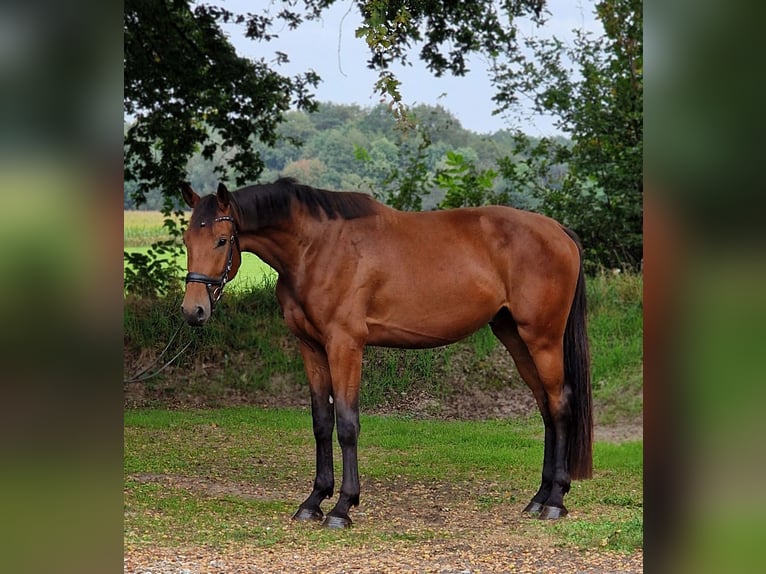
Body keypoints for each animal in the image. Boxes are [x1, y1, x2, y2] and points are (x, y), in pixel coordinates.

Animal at [180, 178, 592, 528]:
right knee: (545, 408)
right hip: (515, 338)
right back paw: (539, 498)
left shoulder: (345, 345)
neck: (317, 248)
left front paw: (342, 507)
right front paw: (314, 501)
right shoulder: (311, 347)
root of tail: (559, 232)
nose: (193, 310)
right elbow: (321, 422)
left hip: (542, 339)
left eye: (221, 240)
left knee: (560, 405)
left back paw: (555, 501)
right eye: (186, 239)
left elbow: (347, 424)